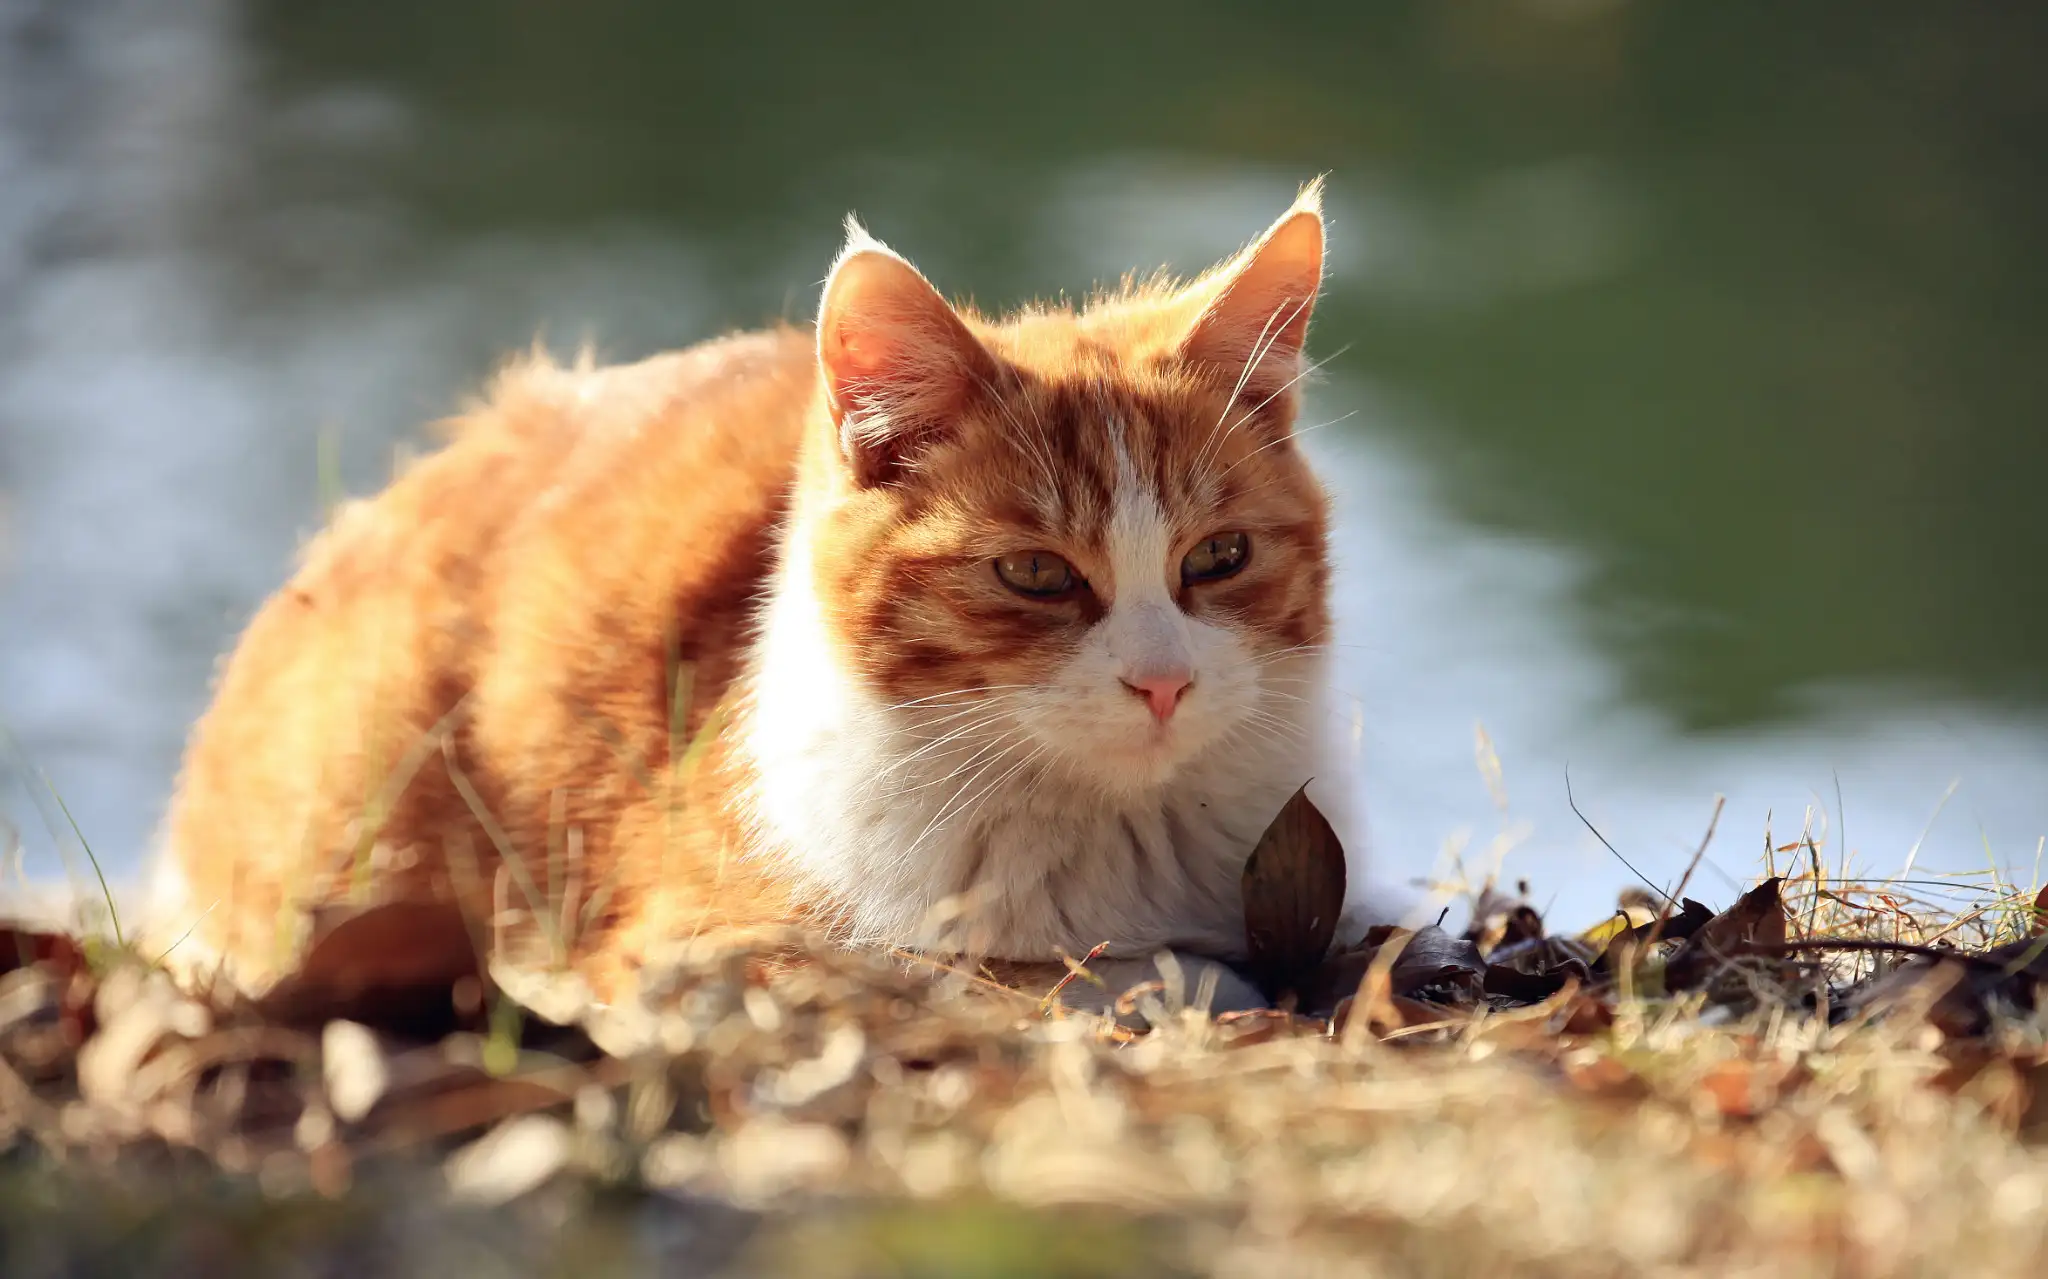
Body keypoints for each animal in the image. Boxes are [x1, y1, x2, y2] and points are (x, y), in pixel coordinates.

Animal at [159, 177, 1343, 1006]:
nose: (1162, 684)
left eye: (1218, 557)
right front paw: (1164, 978)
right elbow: (999, 972)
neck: (1114, 834)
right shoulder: (699, 946)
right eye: (1037, 573)